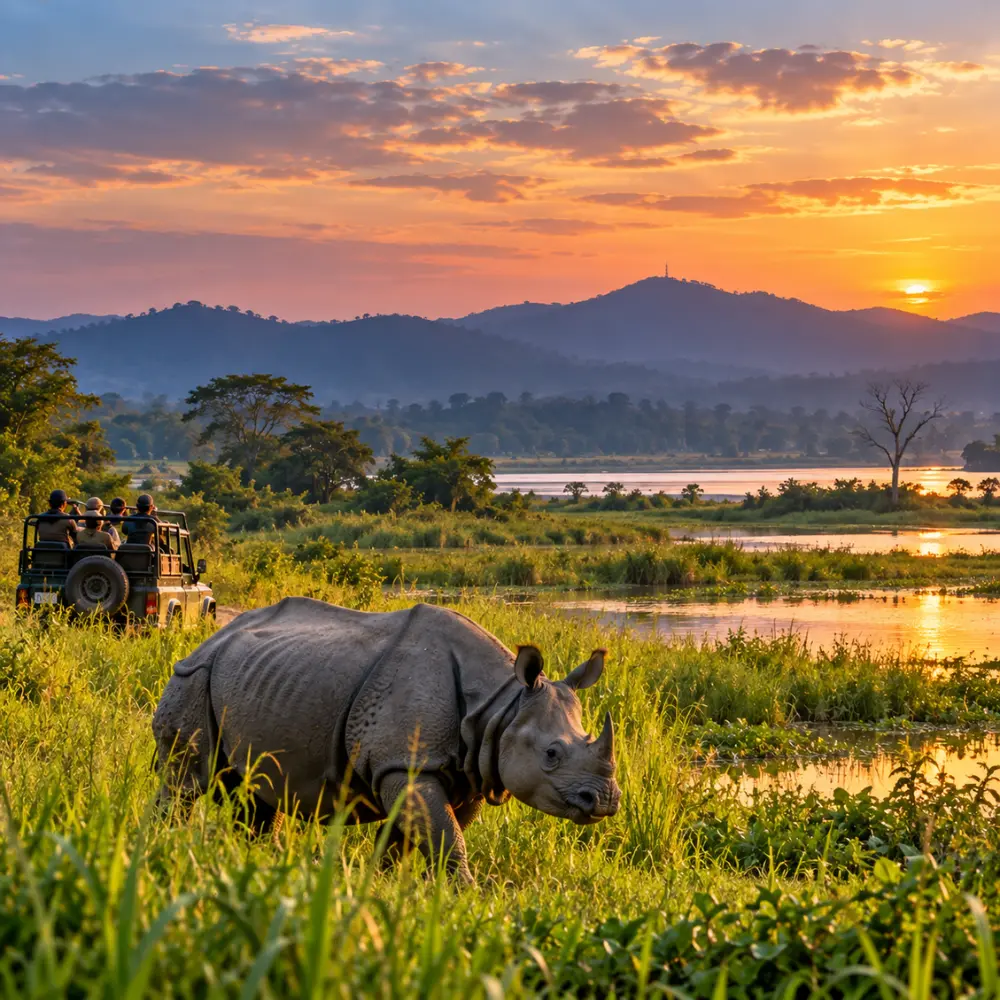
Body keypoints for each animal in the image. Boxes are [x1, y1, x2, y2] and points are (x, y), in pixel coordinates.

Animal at [152, 597, 620, 883]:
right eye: (552, 754)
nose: (604, 801)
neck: (500, 706)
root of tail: (209, 637)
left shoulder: (462, 772)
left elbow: (416, 837)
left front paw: (379, 884)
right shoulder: (404, 763)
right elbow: (447, 840)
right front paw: (466, 895)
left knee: (257, 792)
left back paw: (252, 860)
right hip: (194, 675)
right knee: (186, 781)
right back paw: (163, 845)